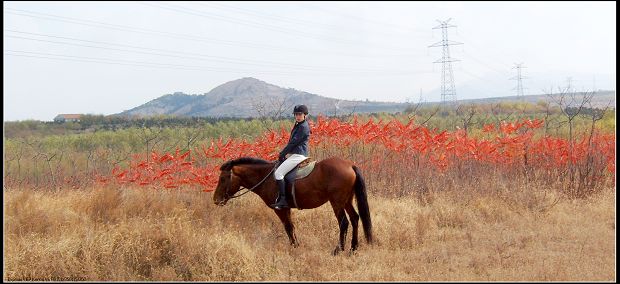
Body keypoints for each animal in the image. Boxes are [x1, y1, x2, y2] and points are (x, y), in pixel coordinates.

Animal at [212, 156, 372, 254]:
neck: (266, 177)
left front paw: (294, 247)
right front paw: (297, 245)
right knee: (355, 218)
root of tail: (350, 165)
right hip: (347, 200)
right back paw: (353, 248)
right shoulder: (287, 209)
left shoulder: (280, 209)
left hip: (337, 202)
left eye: (223, 178)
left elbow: (288, 227)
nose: (216, 200)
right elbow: (292, 227)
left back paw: (338, 250)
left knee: (344, 222)